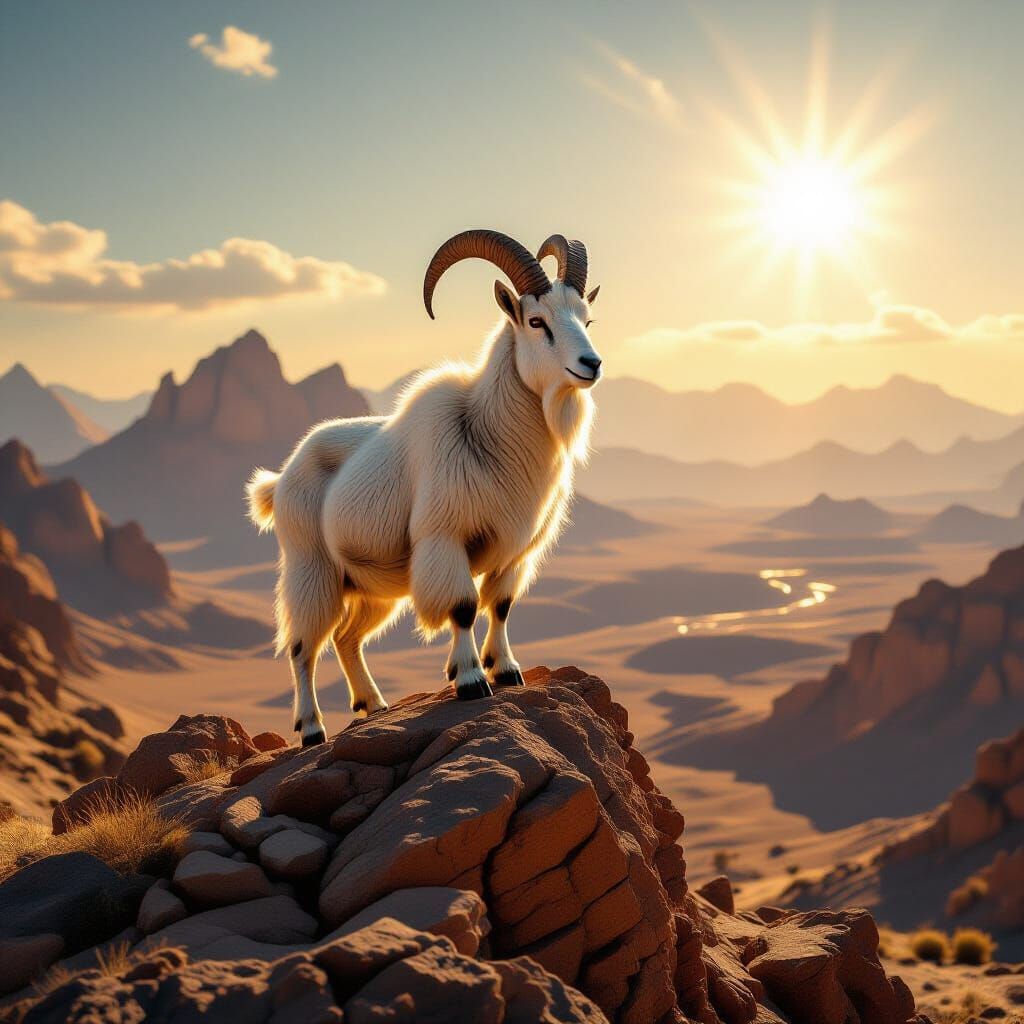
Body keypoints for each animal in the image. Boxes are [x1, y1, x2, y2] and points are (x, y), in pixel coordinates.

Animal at [247, 229, 602, 746]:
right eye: (537, 322)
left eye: (587, 318)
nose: (590, 364)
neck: (488, 432)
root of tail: (280, 482)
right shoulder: (444, 541)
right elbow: (463, 607)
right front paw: (471, 680)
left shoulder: (514, 554)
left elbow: (500, 605)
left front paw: (506, 670)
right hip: (311, 572)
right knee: (302, 646)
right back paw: (312, 729)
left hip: (370, 588)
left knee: (346, 638)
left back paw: (373, 704)